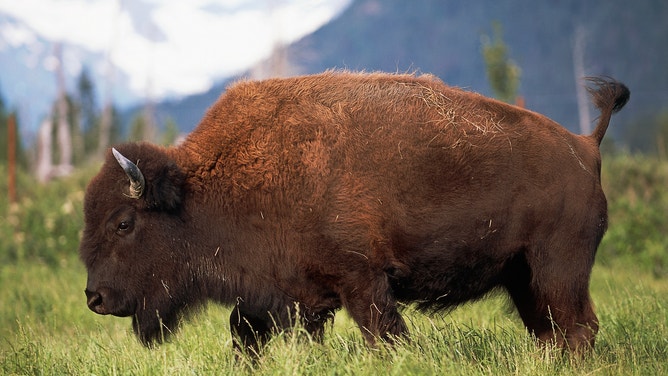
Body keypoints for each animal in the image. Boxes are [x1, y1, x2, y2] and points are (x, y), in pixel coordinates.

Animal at [81, 72, 628, 354]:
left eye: (124, 223)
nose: (95, 298)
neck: (201, 189)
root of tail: (586, 146)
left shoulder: (362, 282)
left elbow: (382, 335)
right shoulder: (288, 293)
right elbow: (248, 335)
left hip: (557, 269)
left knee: (577, 327)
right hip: (522, 276)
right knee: (552, 330)